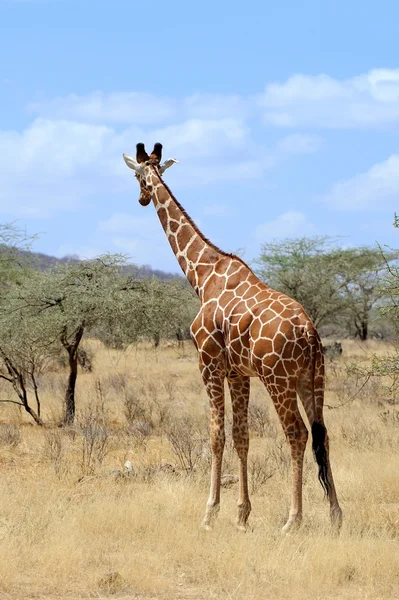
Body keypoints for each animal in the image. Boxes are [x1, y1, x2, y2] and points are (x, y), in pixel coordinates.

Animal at [122, 145, 344, 536]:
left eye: (137, 176)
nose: (141, 198)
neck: (202, 274)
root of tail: (309, 332)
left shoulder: (208, 363)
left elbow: (216, 436)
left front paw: (210, 513)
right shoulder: (239, 373)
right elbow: (242, 436)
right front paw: (242, 515)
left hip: (278, 378)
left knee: (297, 434)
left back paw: (293, 520)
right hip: (312, 377)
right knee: (322, 434)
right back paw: (335, 515)